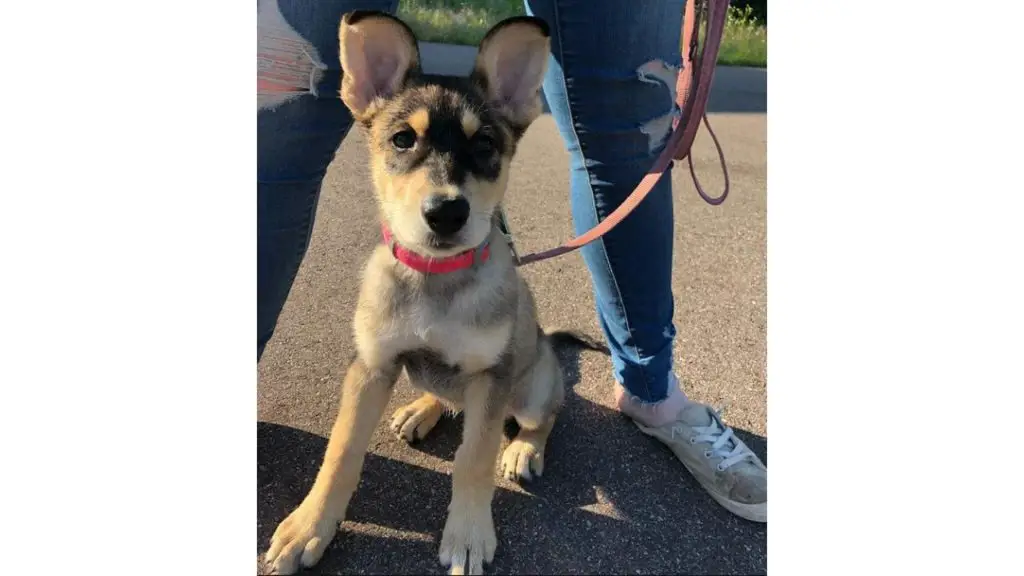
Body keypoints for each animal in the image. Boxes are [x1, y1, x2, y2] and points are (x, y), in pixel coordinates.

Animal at [262, 10, 606, 573]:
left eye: (485, 145)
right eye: (403, 139)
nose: (446, 213)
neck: (436, 280)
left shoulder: (491, 377)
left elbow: (473, 459)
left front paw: (468, 534)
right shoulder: (371, 366)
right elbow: (340, 451)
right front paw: (308, 527)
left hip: (532, 387)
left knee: (543, 417)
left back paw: (524, 448)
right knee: (444, 394)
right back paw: (421, 408)